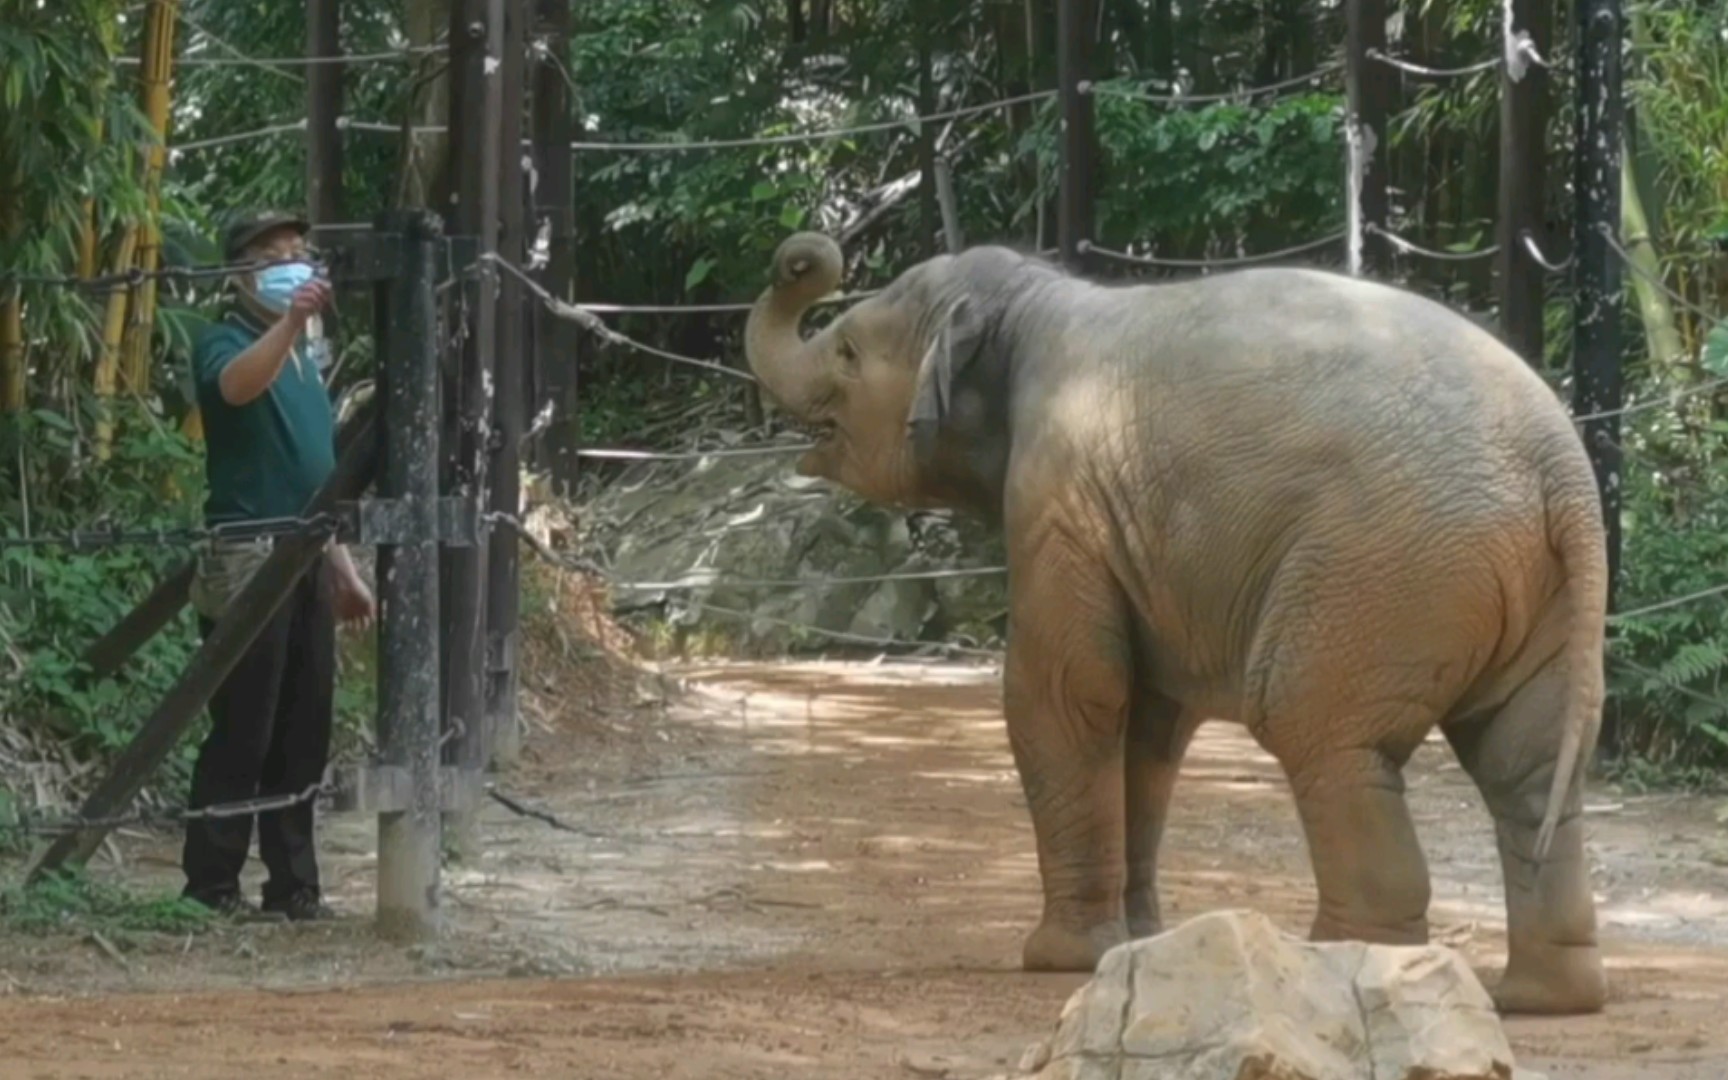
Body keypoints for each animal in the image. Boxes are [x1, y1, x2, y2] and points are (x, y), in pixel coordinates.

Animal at [739, 231, 1603, 1016]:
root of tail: (1561, 471)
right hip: (1531, 593)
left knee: (1320, 732)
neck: (1034, 301)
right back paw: (1540, 999)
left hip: (1383, 567)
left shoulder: (1056, 498)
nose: (801, 258)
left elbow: (1065, 694)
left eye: (848, 351)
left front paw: (1060, 960)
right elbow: (1151, 722)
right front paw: (1138, 943)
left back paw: (1338, 961)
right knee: (1525, 763)